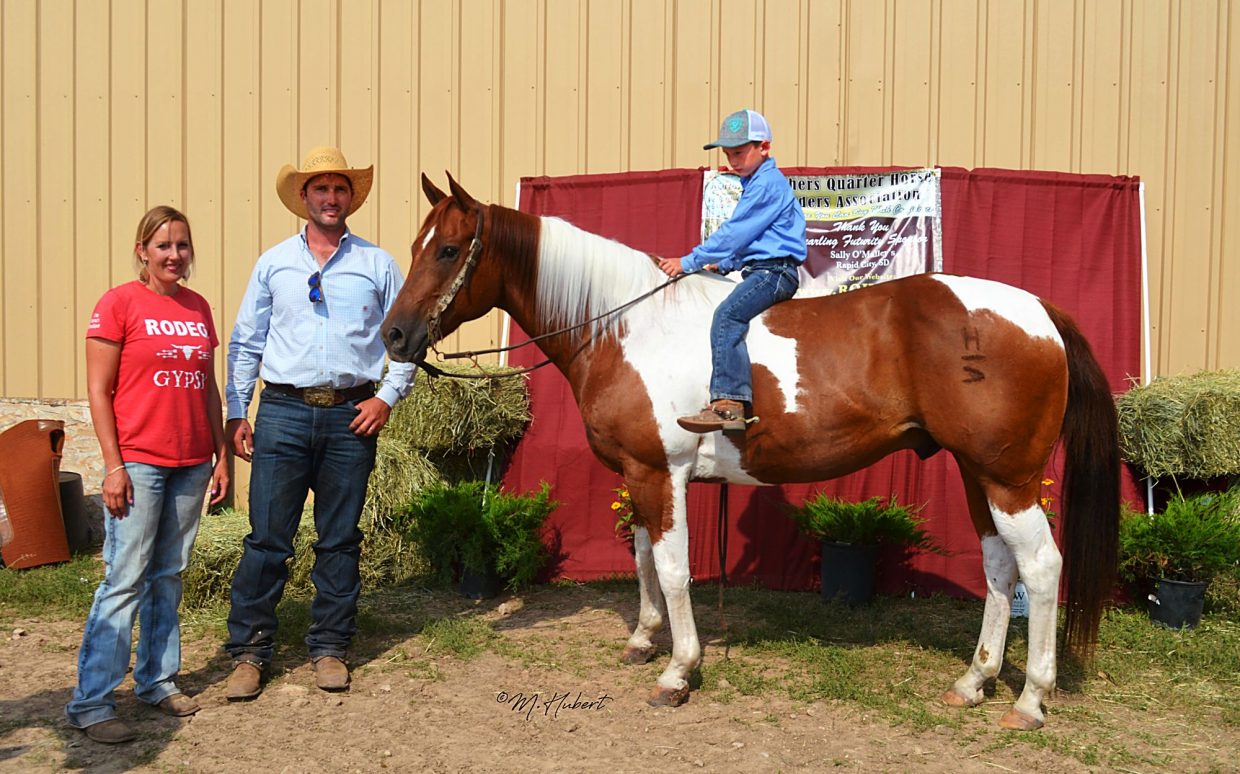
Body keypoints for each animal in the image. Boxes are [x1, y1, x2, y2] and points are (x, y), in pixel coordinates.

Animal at [381, 174, 1119, 731]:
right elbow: (642, 557)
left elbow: (674, 569)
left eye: (449, 250)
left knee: (1042, 568)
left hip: (1009, 478)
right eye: (420, 244)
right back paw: (974, 680)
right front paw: (643, 639)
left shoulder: (662, 472)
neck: (624, 323)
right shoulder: (638, 475)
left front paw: (678, 671)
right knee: (998, 567)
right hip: (976, 473)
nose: (393, 335)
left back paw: (1031, 699)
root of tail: (1041, 311)